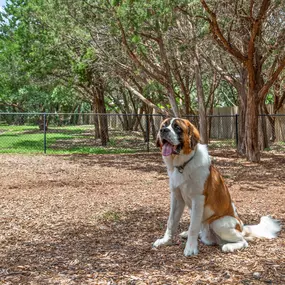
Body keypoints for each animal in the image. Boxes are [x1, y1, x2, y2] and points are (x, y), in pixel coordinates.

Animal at [153, 117, 280, 255]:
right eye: (163, 125)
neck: (183, 165)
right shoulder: (177, 198)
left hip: (218, 223)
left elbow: (193, 227)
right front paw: (165, 241)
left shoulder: (198, 199)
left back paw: (229, 246)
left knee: (243, 241)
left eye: (177, 128)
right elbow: (171, 222)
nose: (163, 130)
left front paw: (190, 248)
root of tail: (242, 227)